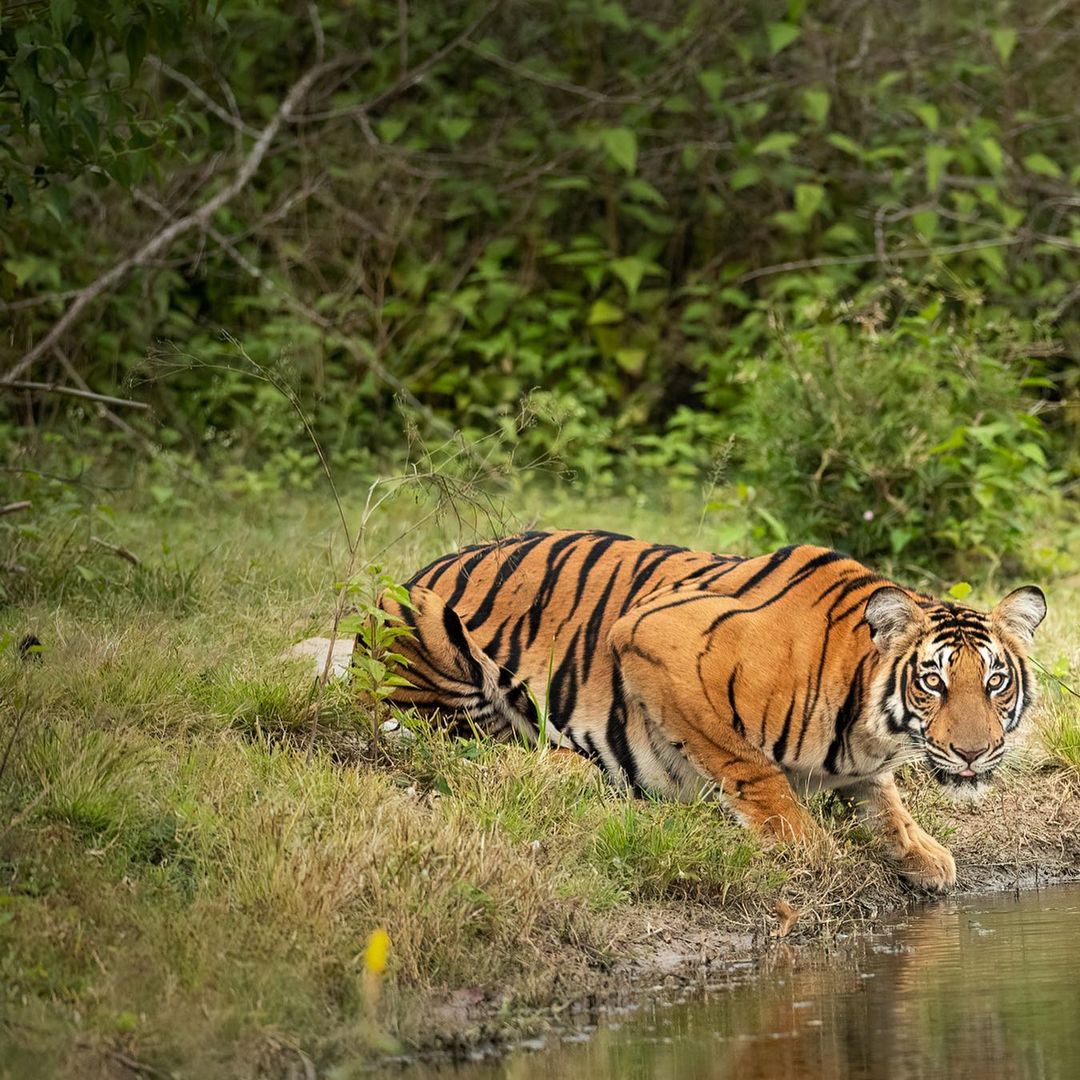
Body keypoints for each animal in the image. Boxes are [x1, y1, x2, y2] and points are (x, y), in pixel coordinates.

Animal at [382, 527, 1045, 889]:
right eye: (933, 681)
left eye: (995, 682)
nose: (973, 753)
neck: (866, 723)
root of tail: (419, 567)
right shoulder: (655, 639)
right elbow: (748, 765)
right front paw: (807, 847)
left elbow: (884, 799)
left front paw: (923, 853)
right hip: (427, 628)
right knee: (451, 741)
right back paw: (569, 768)